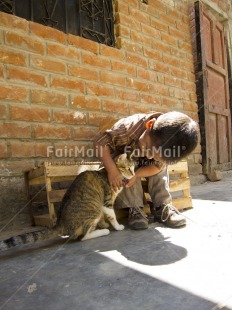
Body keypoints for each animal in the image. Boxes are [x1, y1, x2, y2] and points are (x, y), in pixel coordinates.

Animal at [0, 154, 134, 251]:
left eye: (133, 168)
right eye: (128, 168)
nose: (133, 174)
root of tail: (60, 223)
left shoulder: (102, 203)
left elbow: (103, 217)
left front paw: (103, 224)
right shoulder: (106, 201)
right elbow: (112, 216)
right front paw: (117, 227)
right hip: (93, 209)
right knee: (83, 237)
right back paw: (102, 232)